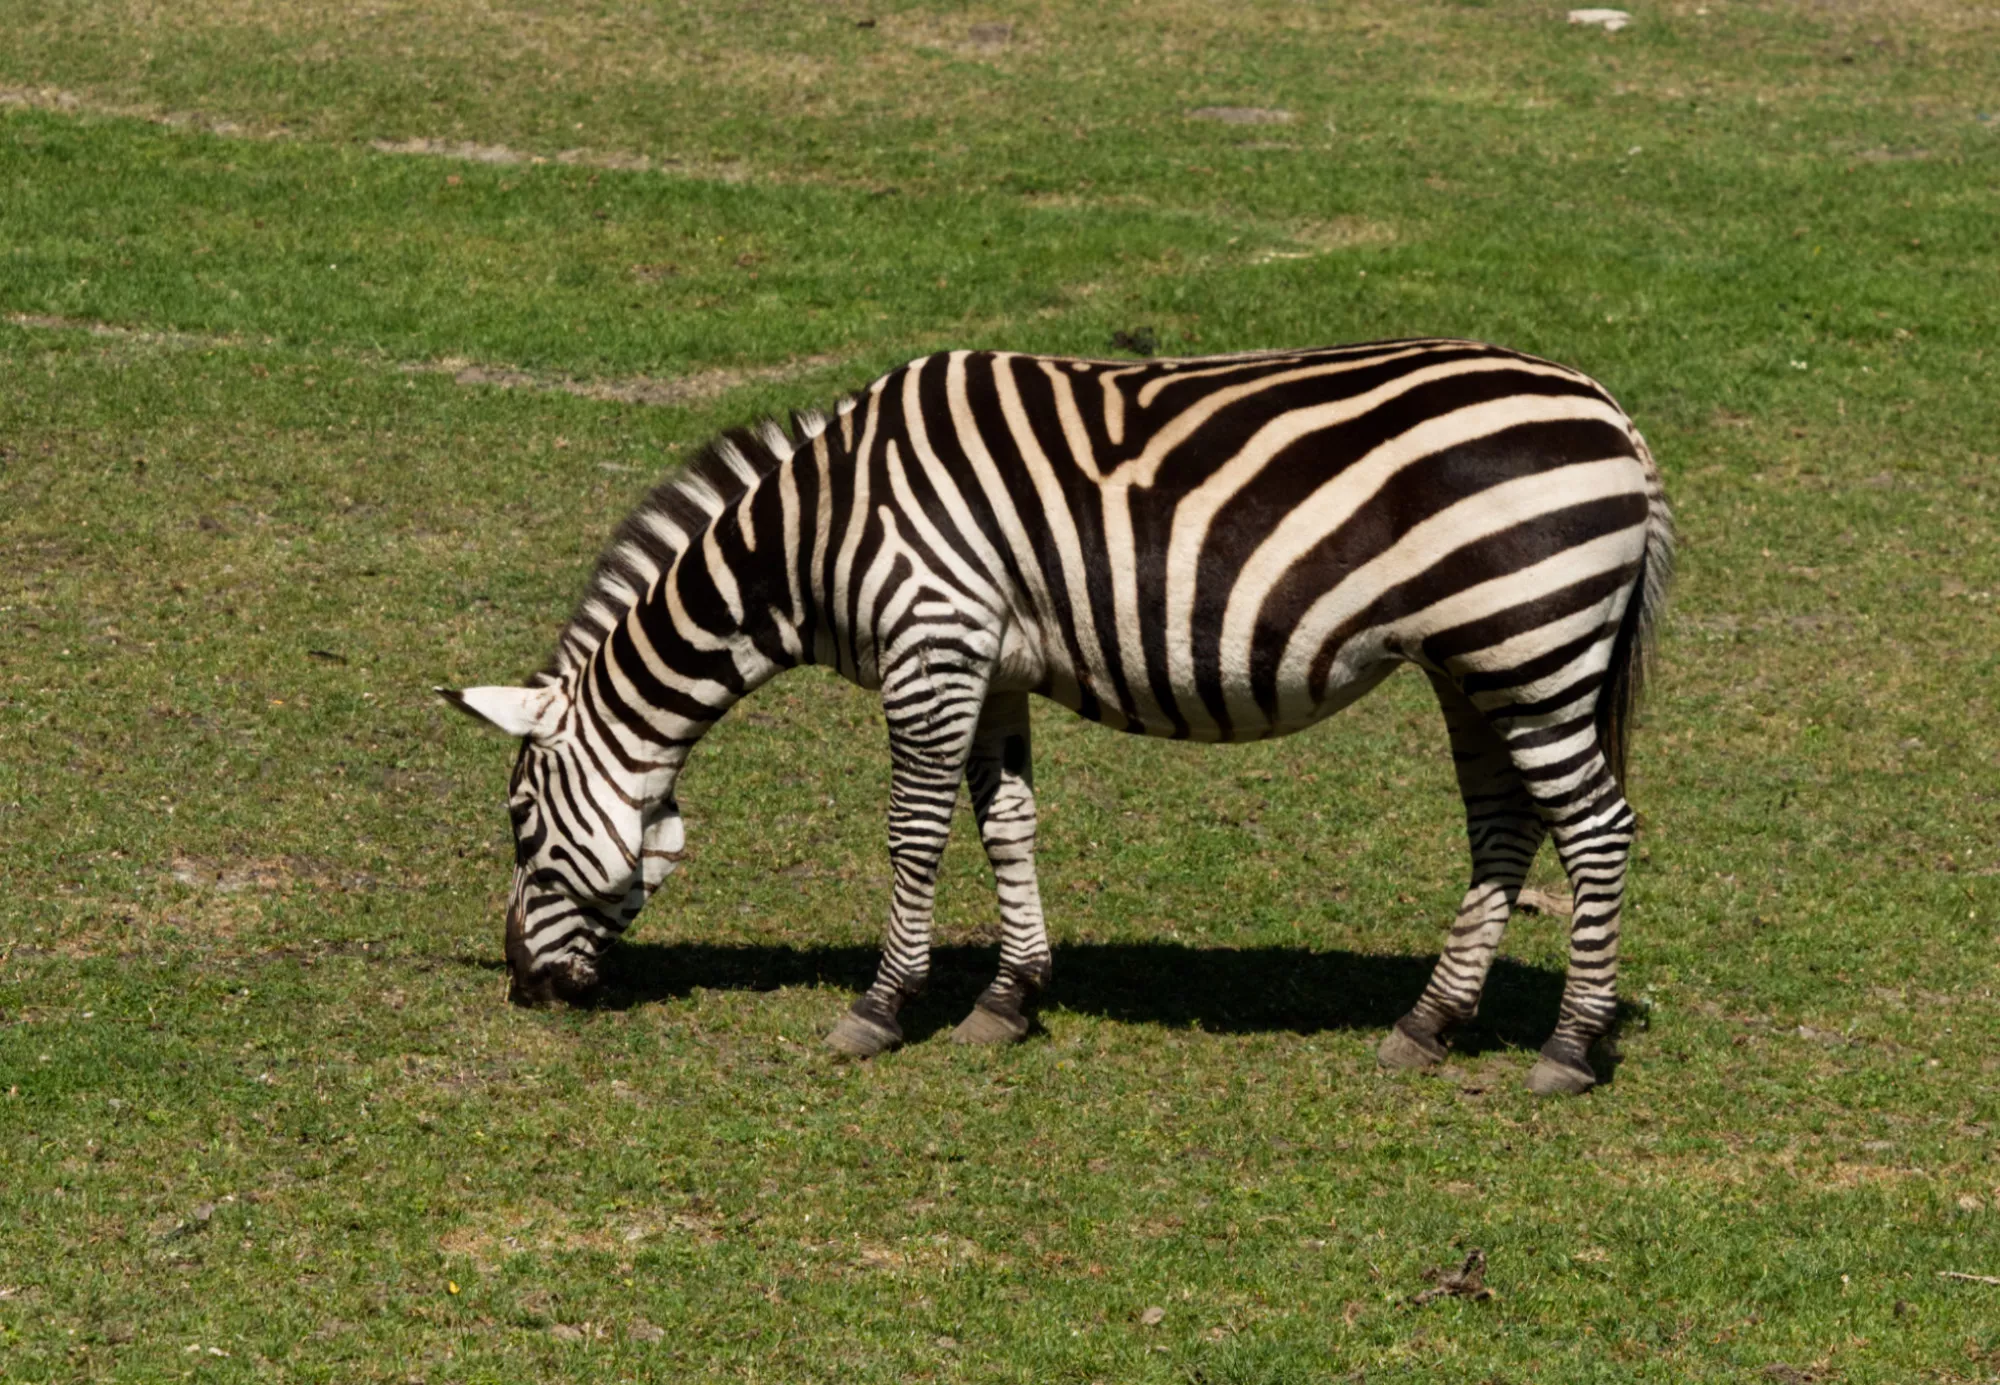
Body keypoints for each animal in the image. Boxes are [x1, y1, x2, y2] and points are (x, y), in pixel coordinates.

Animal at [442, 336, 1672, 1096]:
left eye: (520, 824)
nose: (523, 986)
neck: (810, 537)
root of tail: (1614, 414)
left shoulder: (931, 640)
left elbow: (915, 832)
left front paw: (879, 1010)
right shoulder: (987, 666)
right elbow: (1006, 827)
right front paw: (1008, 998)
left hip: (1529, 642)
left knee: (1597, 828)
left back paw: (1568, 1047)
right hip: (1480, 662)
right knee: (1506, 828)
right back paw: (1427, 1026)